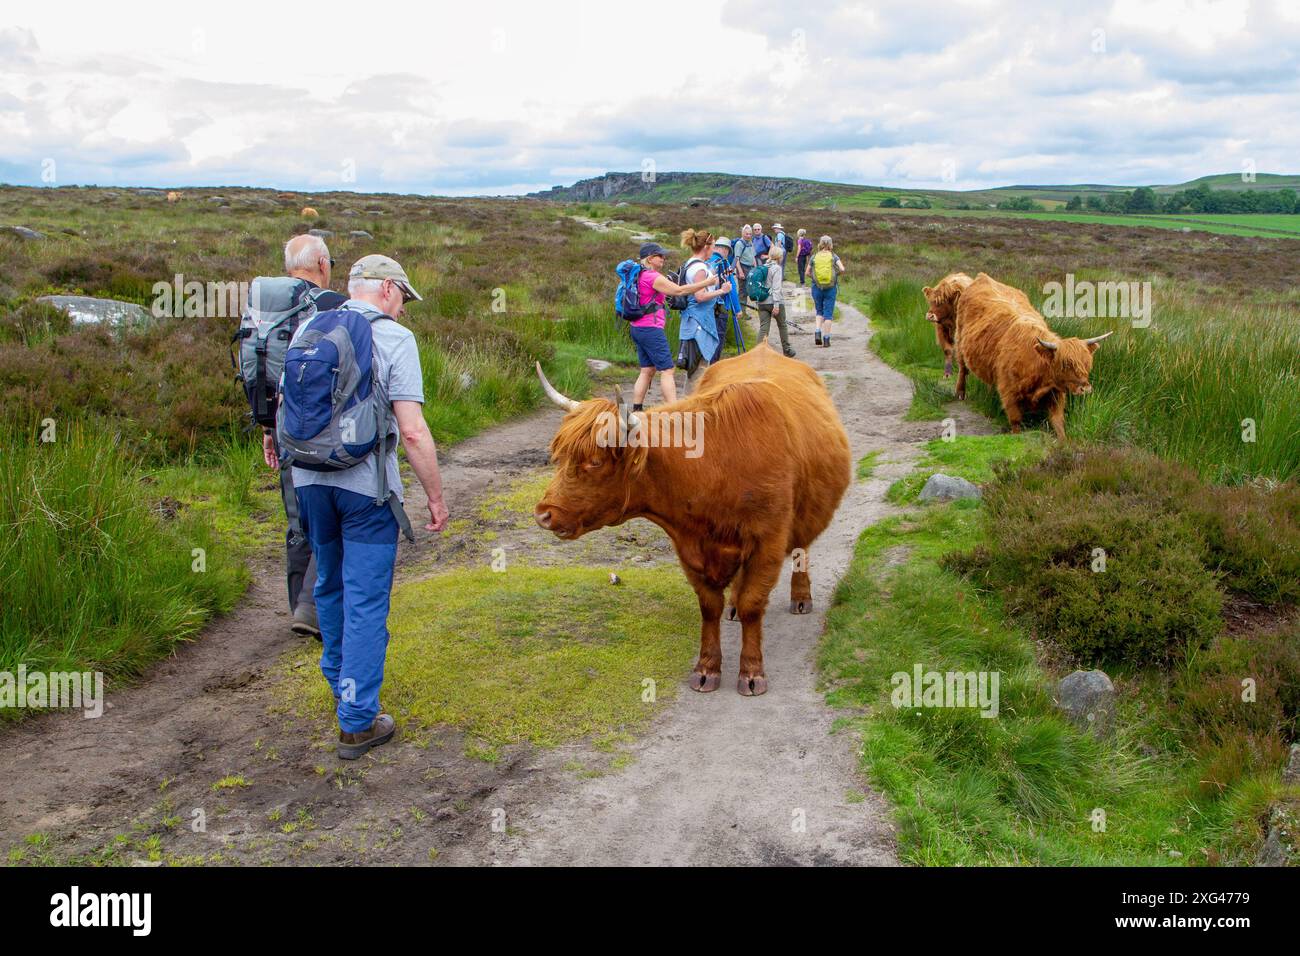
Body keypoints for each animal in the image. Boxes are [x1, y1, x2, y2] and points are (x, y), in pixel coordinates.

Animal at [530, 343, 852, 697]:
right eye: (560, 457)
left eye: (595, 462)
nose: (544, 513)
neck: (714, 467)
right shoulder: (690, 548)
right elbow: (709, 607)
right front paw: (707, 668)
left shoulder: (767, 541)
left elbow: (754, 604)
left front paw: (752, 673)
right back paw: (734, 605)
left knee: (801, 549)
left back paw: (801, 598)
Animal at [941, 273, 1112, 442]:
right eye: (1065, 364)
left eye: (1088, 363)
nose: (1085, 389)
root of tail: (982, 277)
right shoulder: (1009, 393)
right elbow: (1016, 422)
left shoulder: (1056, 394)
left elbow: (1058, 423)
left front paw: (1063, 443)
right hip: (960, 342)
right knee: (963, 370)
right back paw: (960, 393)